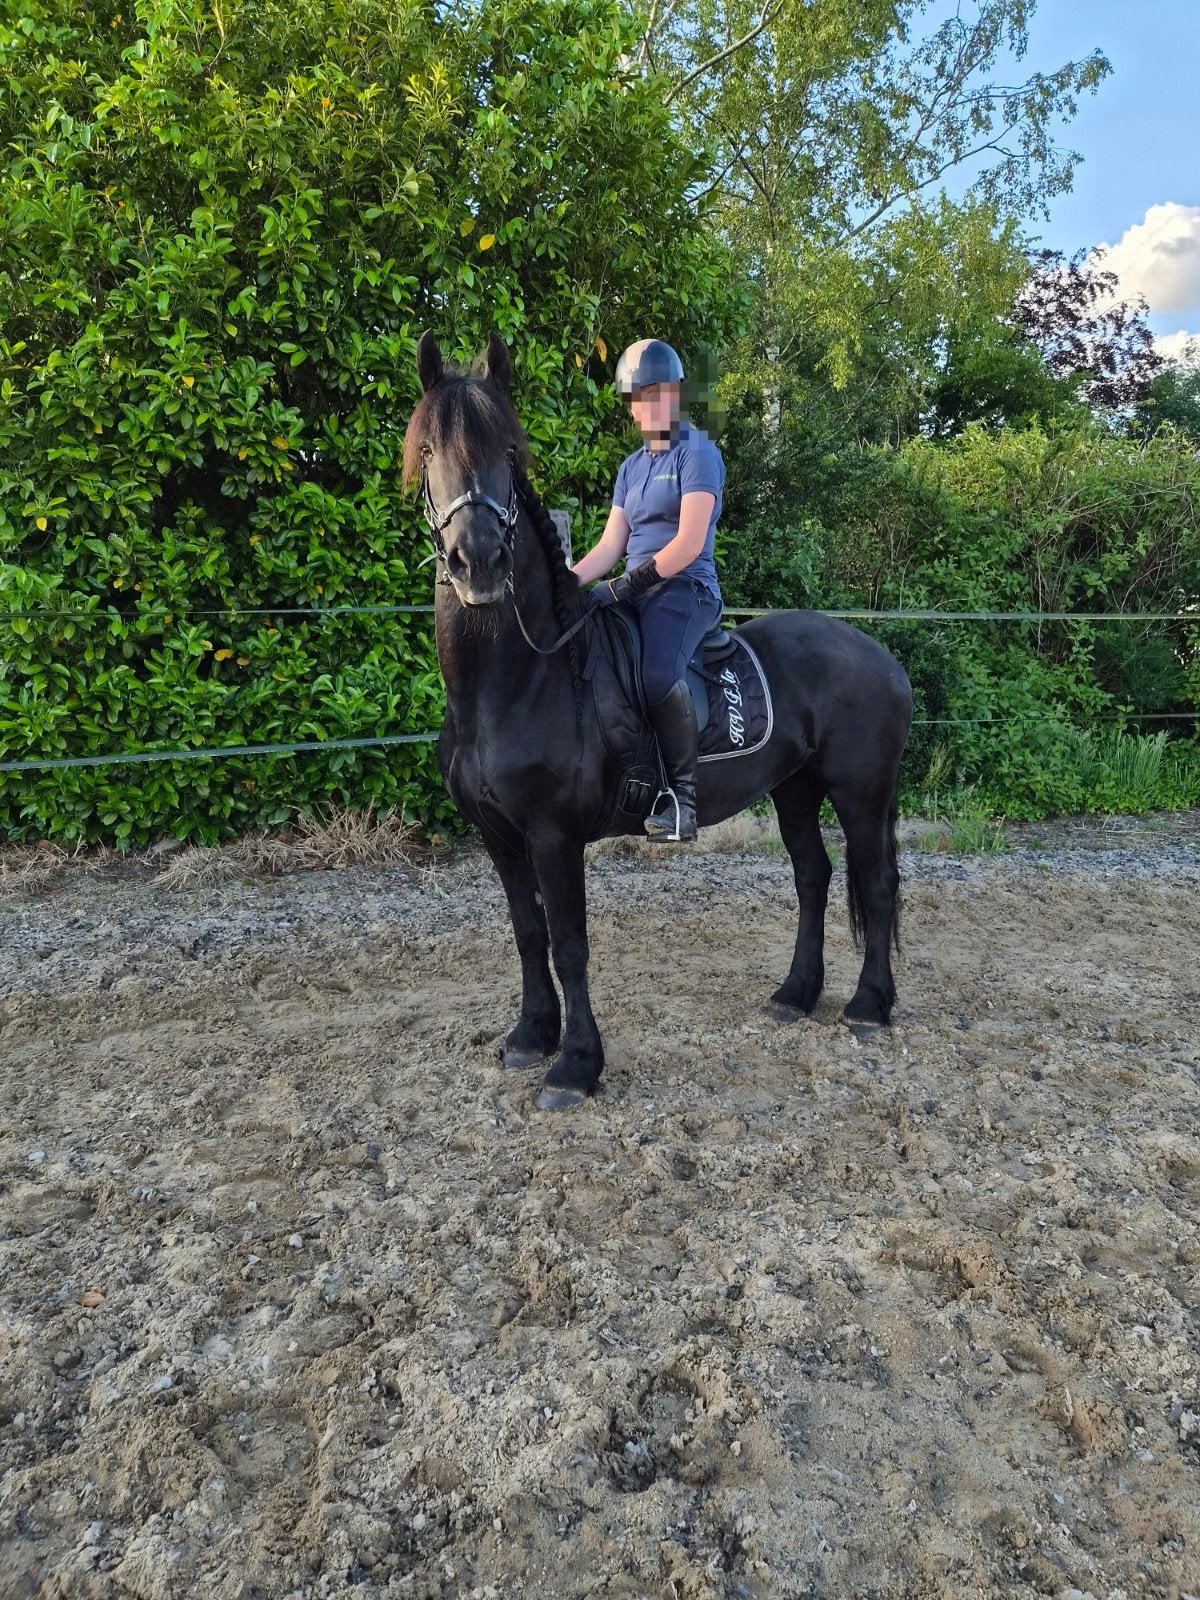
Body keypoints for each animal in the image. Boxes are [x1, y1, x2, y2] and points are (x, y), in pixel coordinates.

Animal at [404, 332, 913, 1111]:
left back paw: (867, 1005)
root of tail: (882, 657)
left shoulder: (552, 835)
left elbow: (569, 943)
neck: (515, 681)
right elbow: (526, 932)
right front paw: (530, 1036)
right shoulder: (500, 835)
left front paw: (575, 1066)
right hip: (795, 789)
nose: (479, 561)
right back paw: (795, 994)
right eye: (429, 448)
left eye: (509, 451)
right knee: (813, 877)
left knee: (876, 885)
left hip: (860, 793)